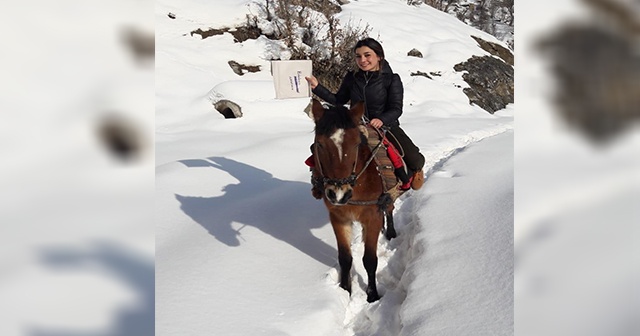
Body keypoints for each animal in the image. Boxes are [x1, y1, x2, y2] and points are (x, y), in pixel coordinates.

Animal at [310, 99, 396, 302]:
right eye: (319, 144)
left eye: (357, 143)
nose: (338, 194)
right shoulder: (339, 218)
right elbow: (345, 258)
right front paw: (345, 290)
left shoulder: (372, 218)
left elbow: (370, 260)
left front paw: (372, 295)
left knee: (389, 209)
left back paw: (390, 232)